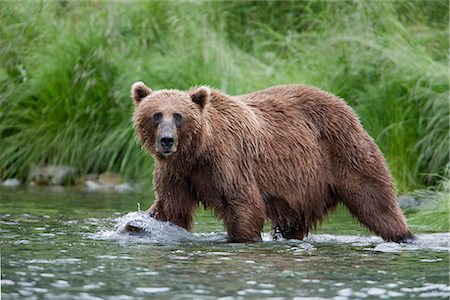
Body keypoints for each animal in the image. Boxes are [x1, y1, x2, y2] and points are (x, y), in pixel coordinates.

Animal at [130, 82, 414, 244]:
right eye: (156, 115)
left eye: (178, 116)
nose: (166, 141)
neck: (197, 151)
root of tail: (345, 105)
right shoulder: (177, 172)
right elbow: (171, 208)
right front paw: (138, 225)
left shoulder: (228, 161)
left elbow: (244, 205)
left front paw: (241, 238)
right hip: (303, 190)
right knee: (292, 223)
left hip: (344, 153)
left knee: (375, 201)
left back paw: (405, 236)